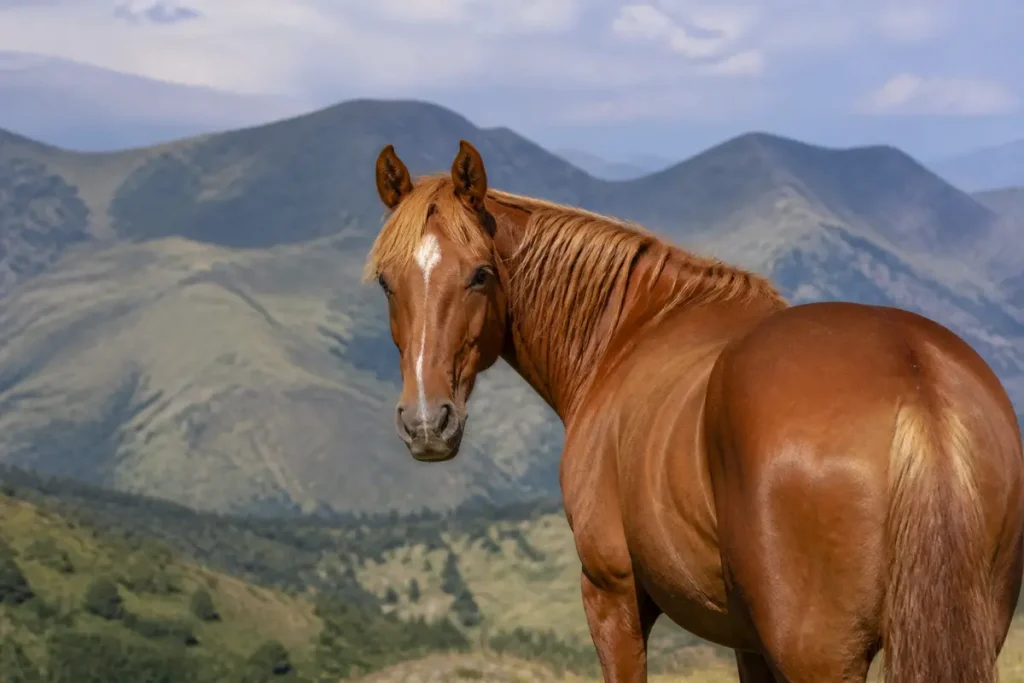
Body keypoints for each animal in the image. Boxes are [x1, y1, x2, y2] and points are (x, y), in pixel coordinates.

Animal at [363, 139, 1024, 682]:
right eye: (387, 283)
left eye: (480, 275)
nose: (426, 423)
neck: (628, 332)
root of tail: (915, 379)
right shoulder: (749, 639)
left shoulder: (612, 596)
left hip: (820, 655)